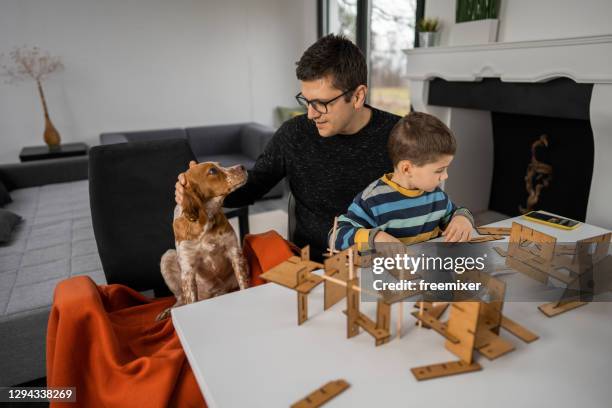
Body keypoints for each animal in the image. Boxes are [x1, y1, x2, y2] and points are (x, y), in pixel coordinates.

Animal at [157, 162, 250, 318]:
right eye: (212, 171)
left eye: (219, 164)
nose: (242, 166)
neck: (206, 221)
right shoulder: (187, 270)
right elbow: (190, 300)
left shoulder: (234, 251)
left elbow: (244, 284)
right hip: (167, 256)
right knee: (180, 299)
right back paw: (167, 312)